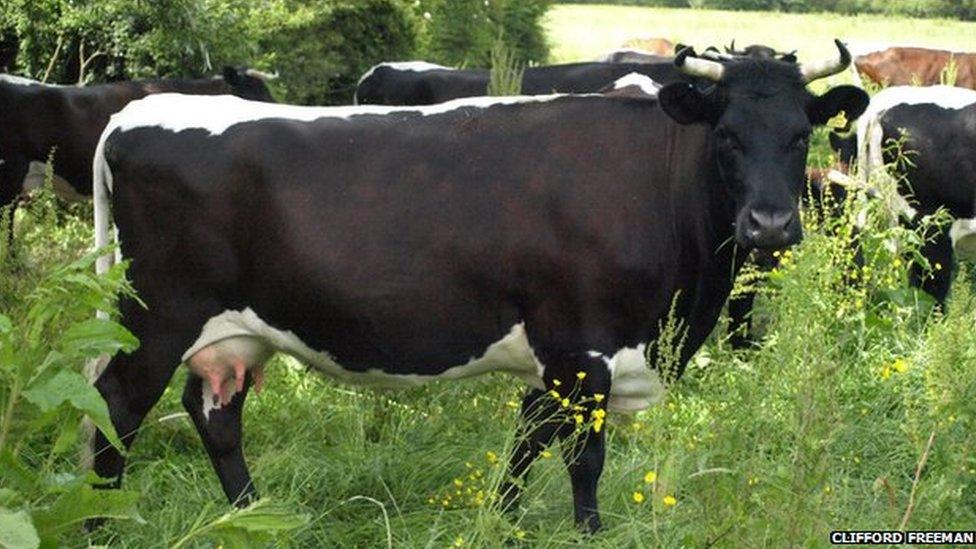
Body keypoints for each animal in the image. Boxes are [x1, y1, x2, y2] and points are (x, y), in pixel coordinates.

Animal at [89, 40, 868, 528]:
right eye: (726, 134)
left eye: (800, 133)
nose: (771, 224)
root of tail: (133, 114)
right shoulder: (584, 347)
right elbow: (583, 460)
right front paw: (587, 531)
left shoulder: (556, 355)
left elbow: (524, 446)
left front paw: (501, 520)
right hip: (156, 315)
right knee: (116, 406)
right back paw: (101, 521)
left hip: (235, 333)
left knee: (214, 413)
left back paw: (255, 513)